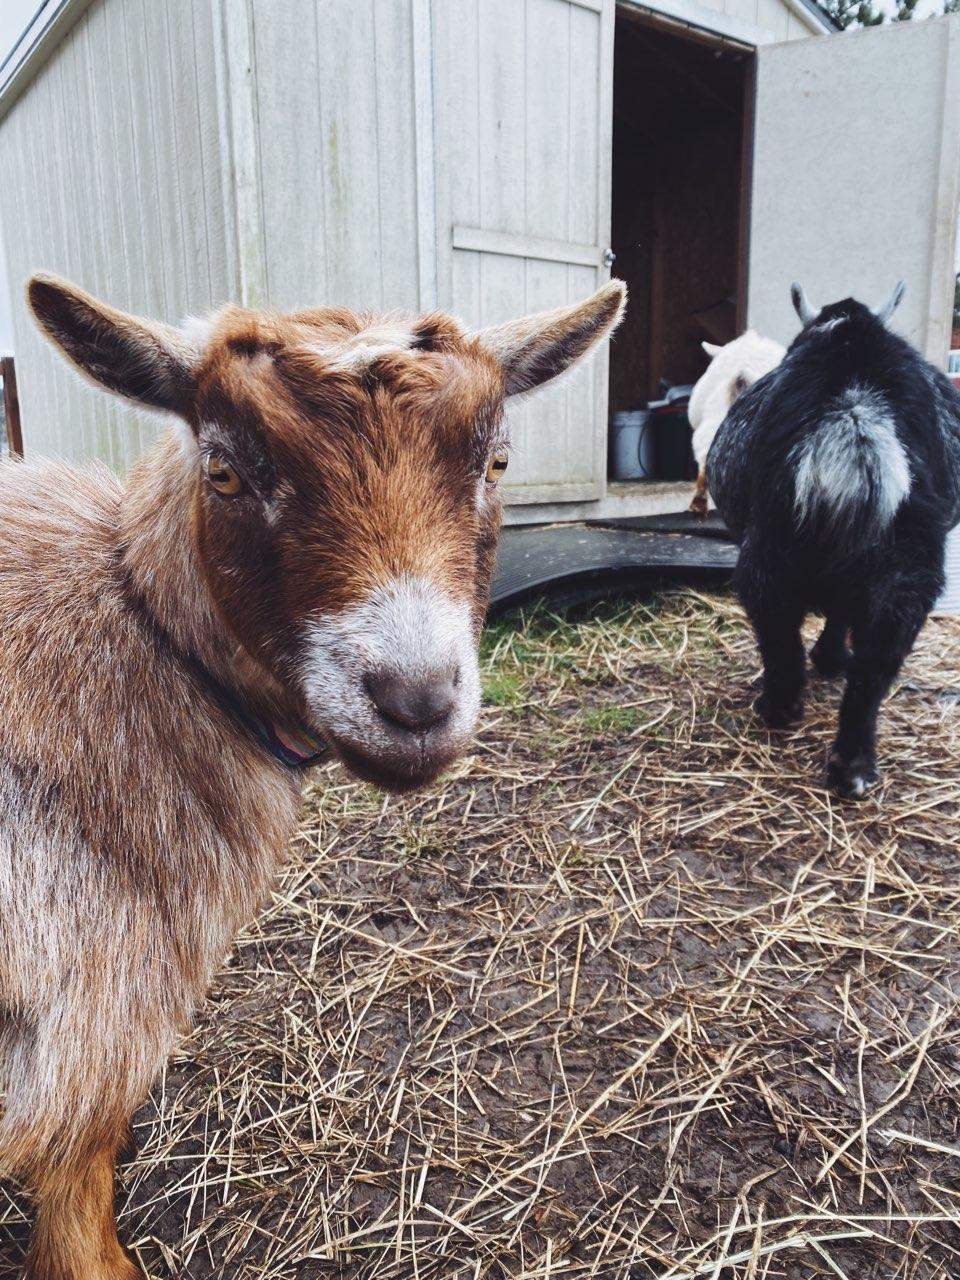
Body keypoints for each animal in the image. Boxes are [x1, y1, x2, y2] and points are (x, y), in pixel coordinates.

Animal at [706, 285, 960, 793]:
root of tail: (854, 413)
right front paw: (829, 658)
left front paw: (825, 659)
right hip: (906, 565)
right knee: (876, 658)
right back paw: (852, 763)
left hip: (771, 547)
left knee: (778, 625)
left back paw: (785, 710)